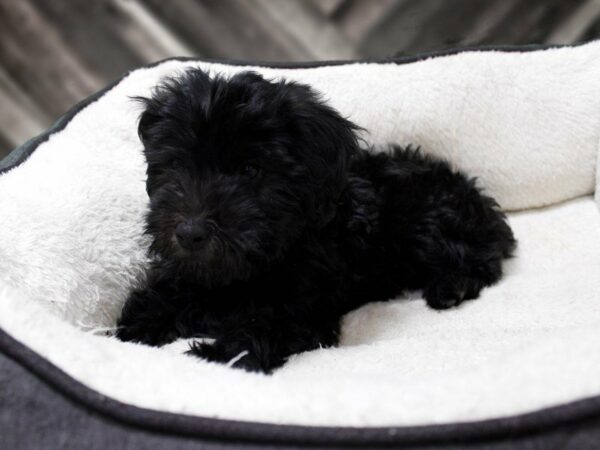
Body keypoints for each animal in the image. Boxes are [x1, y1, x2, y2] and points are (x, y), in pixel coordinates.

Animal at [117, 69, 516, 372]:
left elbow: (262, 329)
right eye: (176, 166)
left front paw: (216, 355)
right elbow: (155, 299)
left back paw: (451, 287)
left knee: (483, 260)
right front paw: (134, 328)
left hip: (428, 223)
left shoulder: (303, 311)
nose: (190, 233)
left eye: (250, 170)